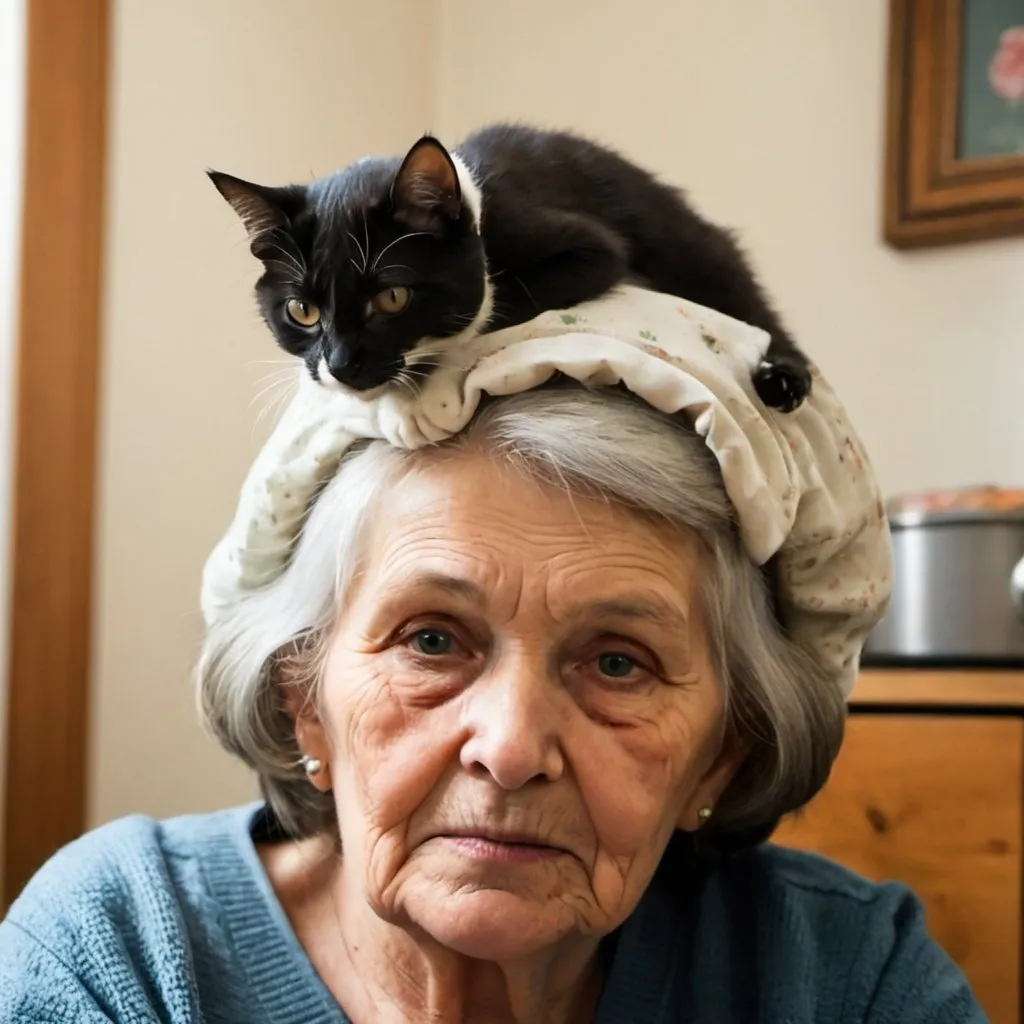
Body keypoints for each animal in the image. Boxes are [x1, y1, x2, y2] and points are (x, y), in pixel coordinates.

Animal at [209, 120, 806, 407]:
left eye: (392, 297)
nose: (338, 365)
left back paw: (784, 377)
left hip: (696, 248)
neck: (476, 204)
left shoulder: (580, 242)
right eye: (301, 311)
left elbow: (510, 298)